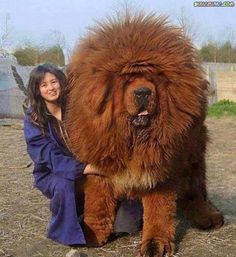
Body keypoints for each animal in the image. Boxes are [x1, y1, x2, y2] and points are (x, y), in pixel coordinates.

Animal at [65, 11, 224, 254]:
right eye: (127, 79)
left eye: (153, 78)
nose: (142, 92)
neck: (134, 138)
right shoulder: (99, 163)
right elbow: (97, 202)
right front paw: (91, 233)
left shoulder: (161, 166)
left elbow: (158, 210)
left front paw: (155, 244)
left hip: (193, 155)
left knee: (195, 189)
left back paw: (207, 216)